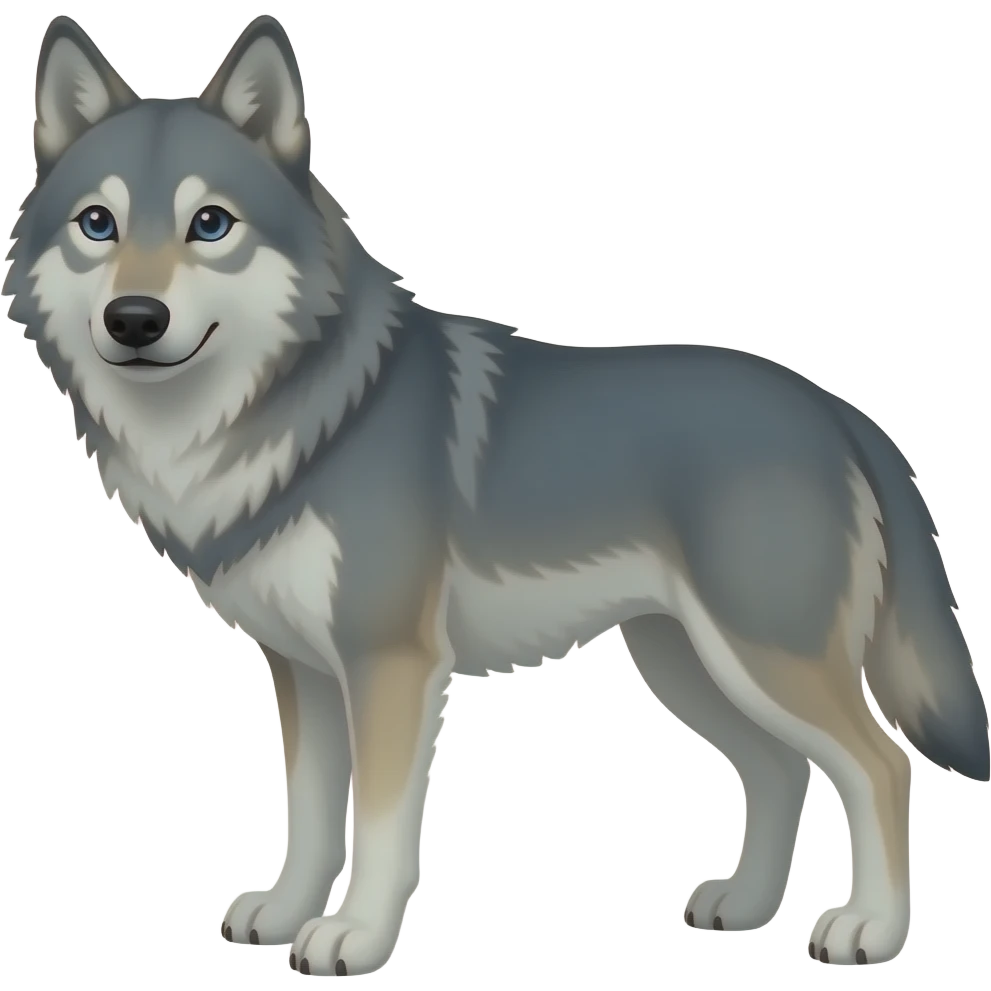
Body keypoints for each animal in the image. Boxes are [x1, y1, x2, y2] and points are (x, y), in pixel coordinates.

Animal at [4, 12, 987, 975]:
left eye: (210, 223)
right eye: (98, 224)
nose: (135, 320)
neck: (302, 419)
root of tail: (839, 412)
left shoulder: (390, 665)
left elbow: (379, 826)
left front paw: (355, 936)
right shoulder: (304, 671)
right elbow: (310, 816)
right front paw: (284, 914)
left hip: (758, 658)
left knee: (878, 765)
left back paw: (869, 930)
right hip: (688, 664)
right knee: (782, 770)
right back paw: (743, 908)